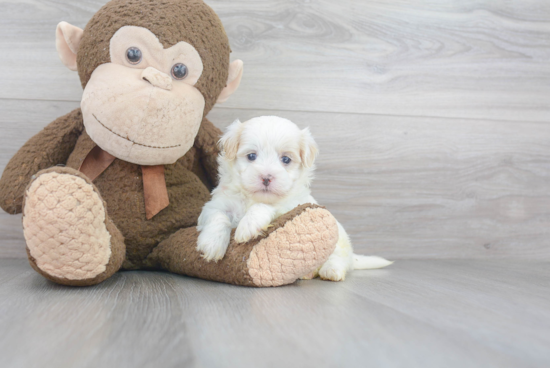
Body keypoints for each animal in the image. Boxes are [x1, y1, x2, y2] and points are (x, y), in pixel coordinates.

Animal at [198, 116, 392, 280]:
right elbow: (218, 216)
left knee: (338, 258)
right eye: (251, 156)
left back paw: (331, 270)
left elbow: (265, 207)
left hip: (339, 240)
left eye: (286, 159)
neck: (253, 197)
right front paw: (211, 244)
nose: (266, 177)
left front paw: (249, 225)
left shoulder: (291, 205)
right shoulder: (216, 204)